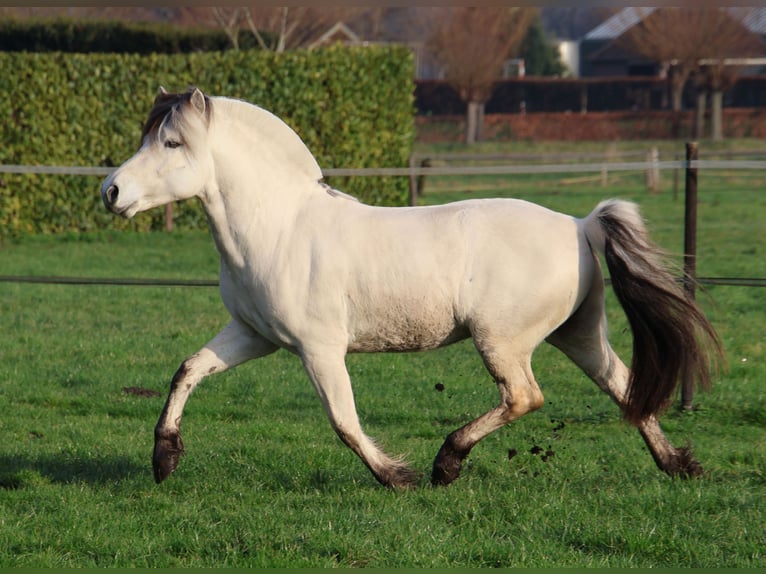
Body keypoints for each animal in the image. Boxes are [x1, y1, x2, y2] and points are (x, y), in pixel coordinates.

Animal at [100, 87, 722, 488]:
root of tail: (579, 224)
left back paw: (446, 464)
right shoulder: (253, 336)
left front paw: (395, 476)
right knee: (624, 385)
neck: (279, 227)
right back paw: (678, 466)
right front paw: (164, 460)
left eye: (172, 143)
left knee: (525, 396)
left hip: (503, 341)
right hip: (579, 334)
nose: (110, 191)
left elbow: (343, 420)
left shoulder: (318, 349)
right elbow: (187, 370)